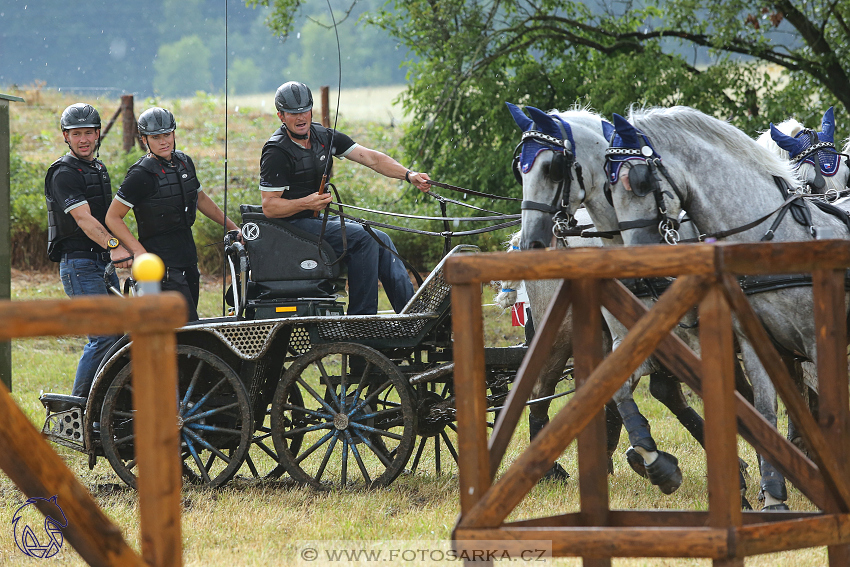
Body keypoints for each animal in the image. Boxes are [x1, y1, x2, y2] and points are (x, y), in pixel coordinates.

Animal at [604, 105, 848, 510]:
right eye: (609, 189)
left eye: (639, 181)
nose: (637, 261)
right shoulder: (755, 346)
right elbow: (766, 411)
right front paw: (775, 497)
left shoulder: (817, 344)